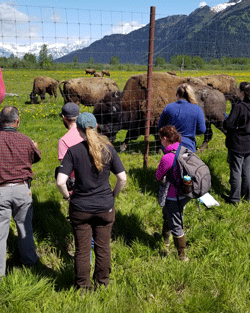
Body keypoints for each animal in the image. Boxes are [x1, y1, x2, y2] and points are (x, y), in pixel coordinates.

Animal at [93, 73, 227, 151]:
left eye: (109, 117)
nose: (101, 133)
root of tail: (220, 94)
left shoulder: (156, 124)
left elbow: (157, 138)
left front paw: (158, 151)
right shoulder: (139, 125)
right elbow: (129, 135)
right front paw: (123, 147)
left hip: (218, 120)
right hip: (207, 122)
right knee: (208, 134)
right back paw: (201, 150)